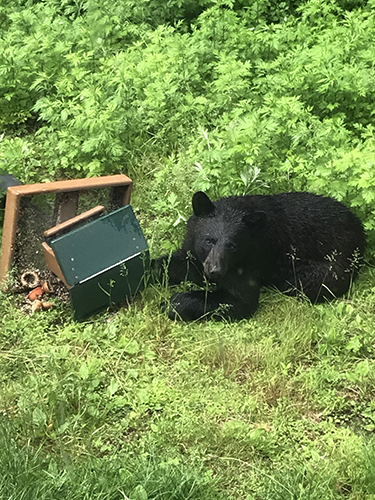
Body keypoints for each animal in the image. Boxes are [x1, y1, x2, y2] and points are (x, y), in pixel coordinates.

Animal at [153, 191, 368, 320]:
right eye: (209, 240)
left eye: (232, 246)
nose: (215, 271)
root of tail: (361, 230)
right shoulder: (195, 252)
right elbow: (179, 262)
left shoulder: (249, 259)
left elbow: (239, 300)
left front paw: (171, 303)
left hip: (330, 266)